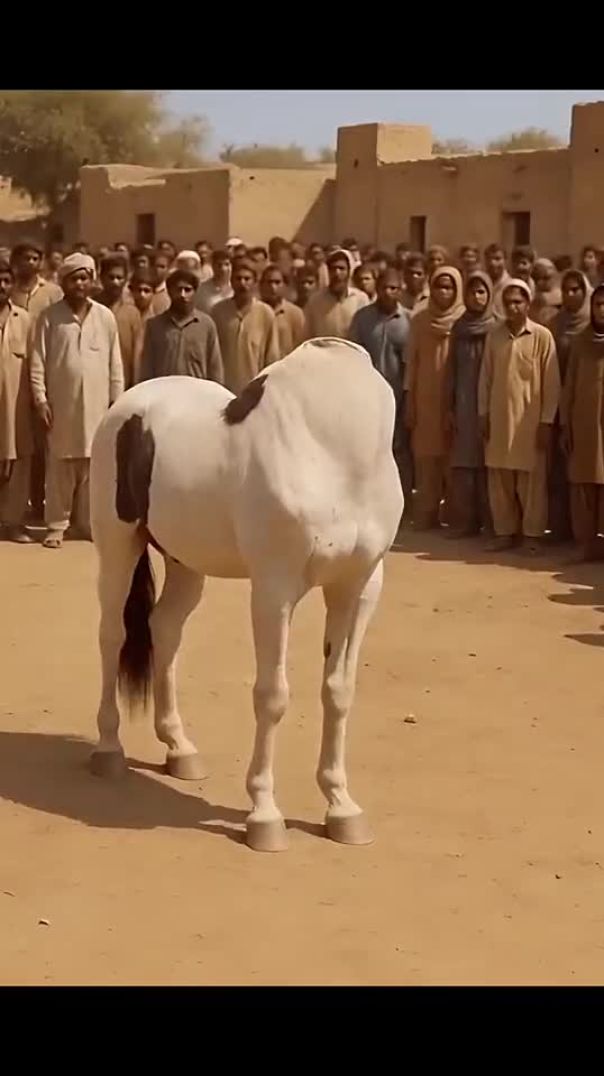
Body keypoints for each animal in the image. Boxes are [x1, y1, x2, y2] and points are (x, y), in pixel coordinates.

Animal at [89, 337, 403, 851]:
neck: (336, 444)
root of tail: (128, 405)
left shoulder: (359, 586)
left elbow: (338, 690)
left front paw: (341, 807)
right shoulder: (275, 589)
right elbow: (272, 695)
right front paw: (264, 815)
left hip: (186, 561)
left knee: (164, 630)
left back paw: (179, 749)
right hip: (118, 544)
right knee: (112, 636)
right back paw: (109, 750)